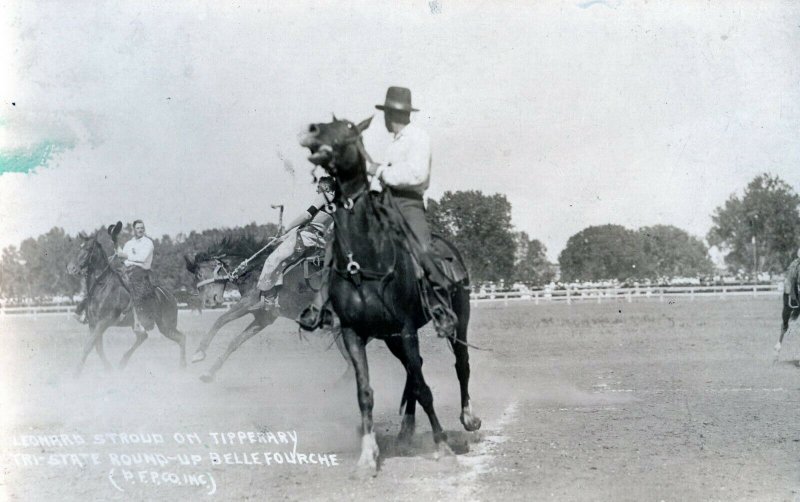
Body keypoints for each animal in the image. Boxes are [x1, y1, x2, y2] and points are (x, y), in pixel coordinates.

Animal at [65, 227, 188, 376]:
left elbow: (89, 346)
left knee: (181, 338)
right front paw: (109, 369)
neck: (103, 286)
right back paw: (123, 363)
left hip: (166, 326)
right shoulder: (93, 324)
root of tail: (170, 296)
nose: (71, 268)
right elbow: (97, 347)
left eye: (88, 248)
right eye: (79, 247)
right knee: (144, 337)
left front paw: (76, 373)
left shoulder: (103, 322)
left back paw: (182, 367)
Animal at [188, 233, 350, 382]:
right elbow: (235, 342)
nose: (208, 302)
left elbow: (221, 320)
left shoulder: (247, 303)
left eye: (199, 274)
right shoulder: (264, 317)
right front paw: (209, 373)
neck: (253, 272)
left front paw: (198, 353)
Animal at [296, 115, 478, 476]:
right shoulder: (354, 333)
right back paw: (406, 431)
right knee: (413, 368)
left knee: (459, 363)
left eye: (349, 130)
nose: (312, 134)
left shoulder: (406, 328)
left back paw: (468, 418)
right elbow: (365, 392)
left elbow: (425, 388)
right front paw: (367, 457)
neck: (363, 261)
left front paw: (443, 447)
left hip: (456, 320)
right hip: (391, 337)